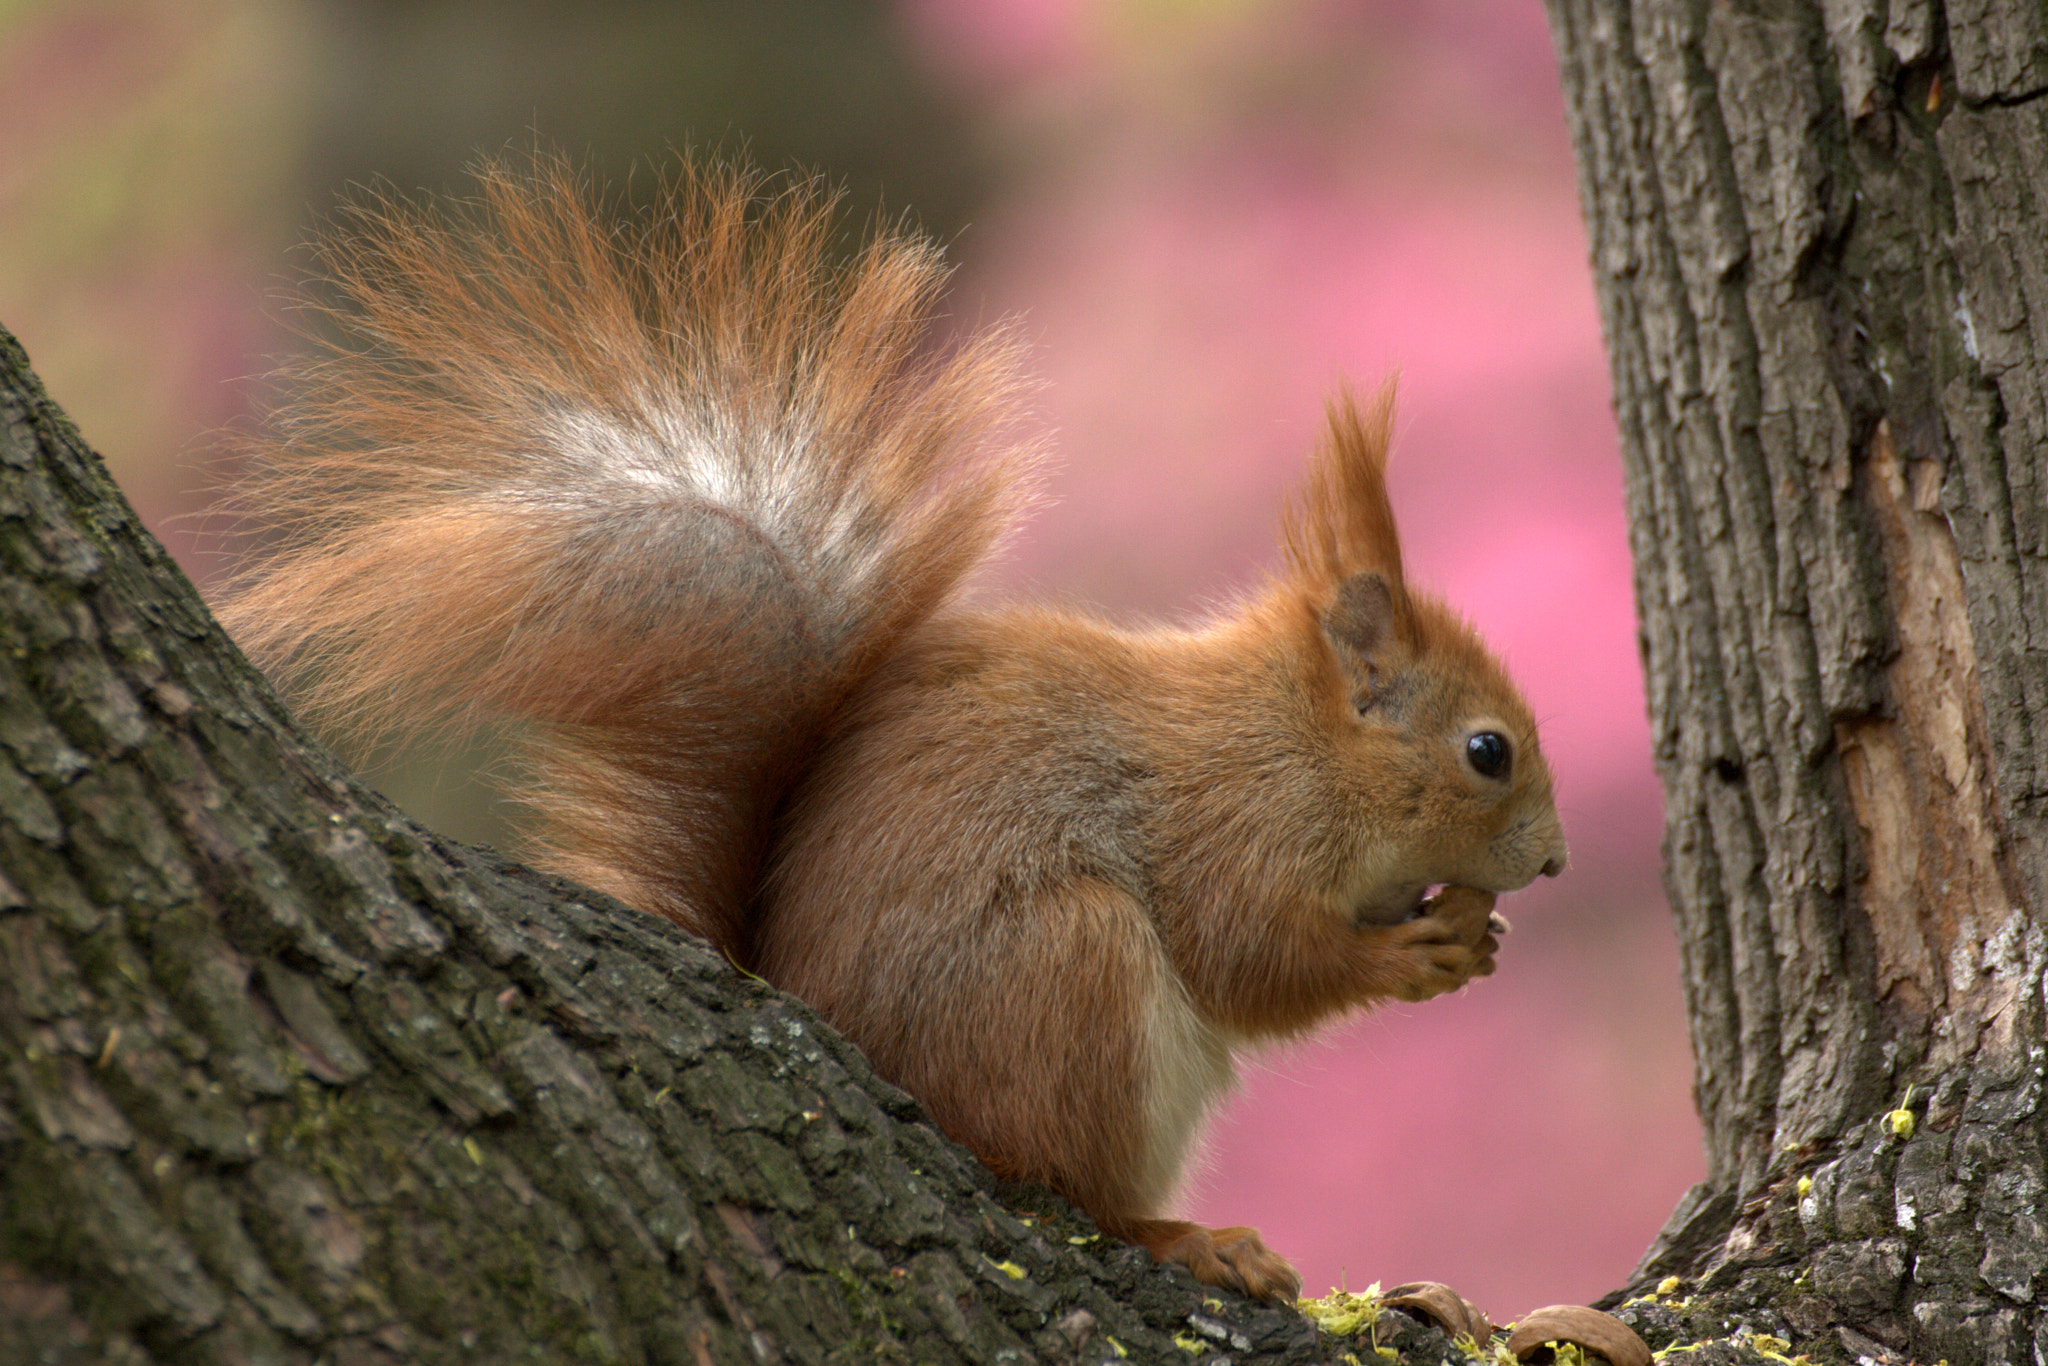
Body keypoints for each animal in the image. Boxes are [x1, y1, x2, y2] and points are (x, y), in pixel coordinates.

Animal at [221, 153, 1568, 1304]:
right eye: (1485, 751)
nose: (1554, 863)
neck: (1298, 744)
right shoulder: (1226, 822)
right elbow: (1250, 953)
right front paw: (1408, 956)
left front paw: (1476, 938)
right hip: (1067, 976)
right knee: (1069, 1182)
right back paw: (1188, 1238)